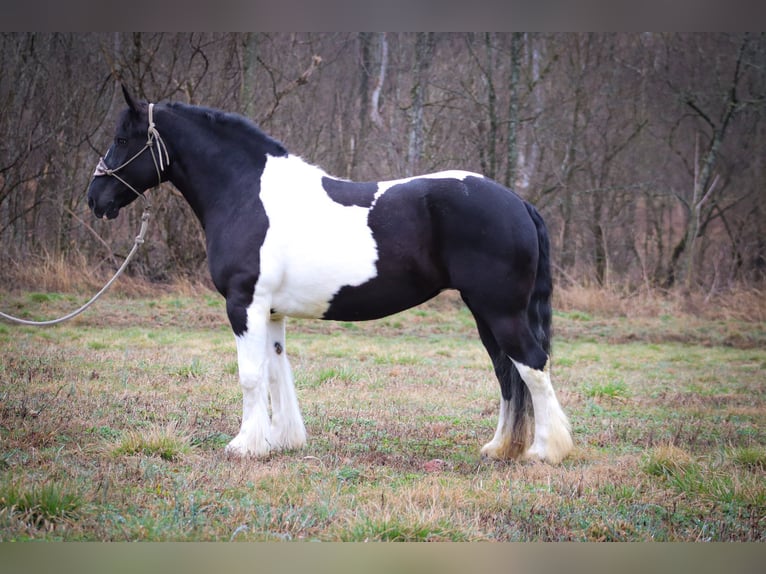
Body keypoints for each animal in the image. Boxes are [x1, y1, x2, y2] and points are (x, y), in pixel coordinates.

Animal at [87, 86, 572, 464]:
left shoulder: (244, 304)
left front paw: (245, 446)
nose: (96, 198)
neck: (247, 194)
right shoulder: (271, 311)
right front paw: (281, 440)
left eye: (122, 138)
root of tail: (517, 202)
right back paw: (500, 448)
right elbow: (277, 371)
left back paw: (545, 451)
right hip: (484, 312)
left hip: (500, 310)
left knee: (531, 365)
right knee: (507, 372)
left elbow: (251, 375)